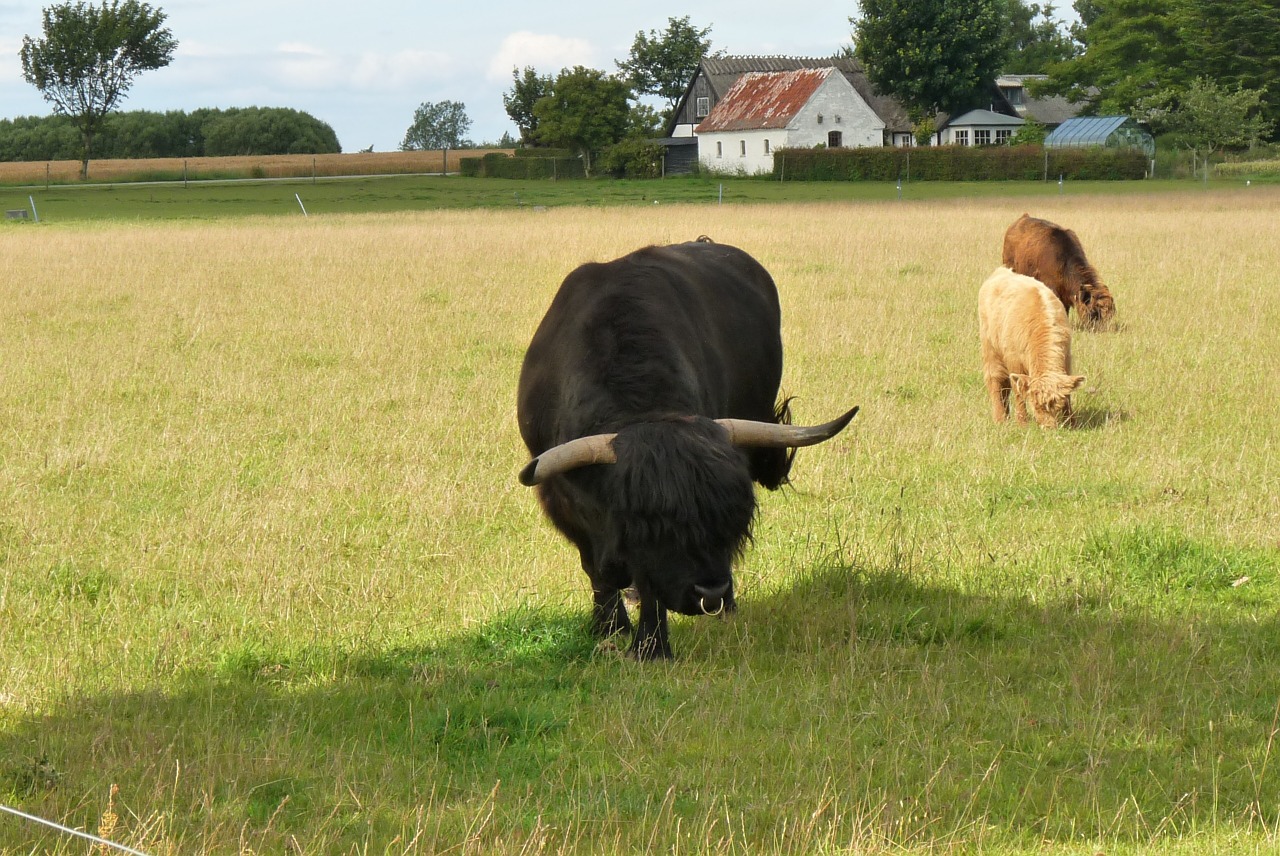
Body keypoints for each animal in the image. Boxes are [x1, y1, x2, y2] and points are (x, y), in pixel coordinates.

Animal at [514, 240, 855, 660]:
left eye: (732, 515)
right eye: (651, 521)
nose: (711, 593)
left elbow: (649, 583)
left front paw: (651, 647)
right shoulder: (562, 499)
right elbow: (594, 567)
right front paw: (609, 627)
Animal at [972, 267, 1085, 427]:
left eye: (1056, 405)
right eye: (1035, 405)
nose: (1049, 427)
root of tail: (1001, 271)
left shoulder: (1066, 361)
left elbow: (1067, 394)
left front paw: (1071, 422)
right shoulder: (1014, 362)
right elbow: (1019, 392)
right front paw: (1022, 422)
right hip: (990, 350)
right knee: (996, 381)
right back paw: (1000, 418)